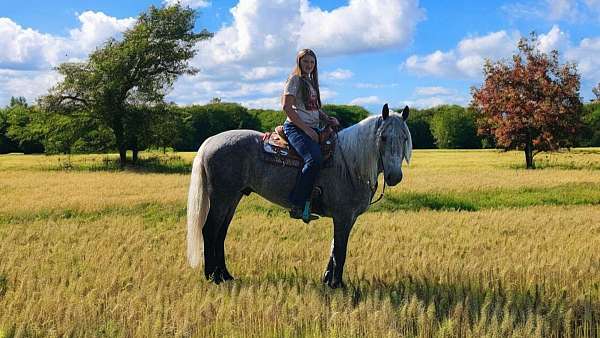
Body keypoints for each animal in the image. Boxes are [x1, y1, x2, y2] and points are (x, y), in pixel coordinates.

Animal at [188, 103, 412, 288]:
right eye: (383, 137)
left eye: (404, 138)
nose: (394, 176)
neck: (350, 163)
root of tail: (210, 141)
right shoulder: (343, 216)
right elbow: (340, 250)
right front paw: (338, 285)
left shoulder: (346, 218)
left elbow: (334, 248)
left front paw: (327, 280)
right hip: (221, 197)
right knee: (210, 231)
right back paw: (212, 277)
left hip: (233, 198)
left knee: (221, 233)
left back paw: (225, 275)